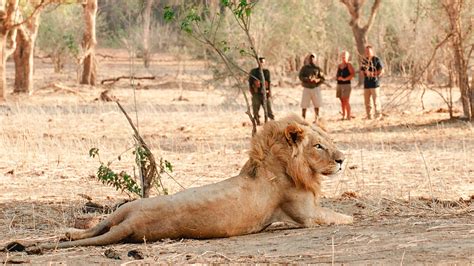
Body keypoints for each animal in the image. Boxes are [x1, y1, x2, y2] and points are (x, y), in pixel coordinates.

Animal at [26, 114, 352, 249]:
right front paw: (350, 216)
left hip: (124, 209)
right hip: (129, 212)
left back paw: (69, 234)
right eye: (319, 146)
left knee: (97, 226)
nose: (342, 159)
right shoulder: (306, 214)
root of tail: (133, 222)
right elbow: (340, 216)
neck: (284, 163)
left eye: (328, 142)